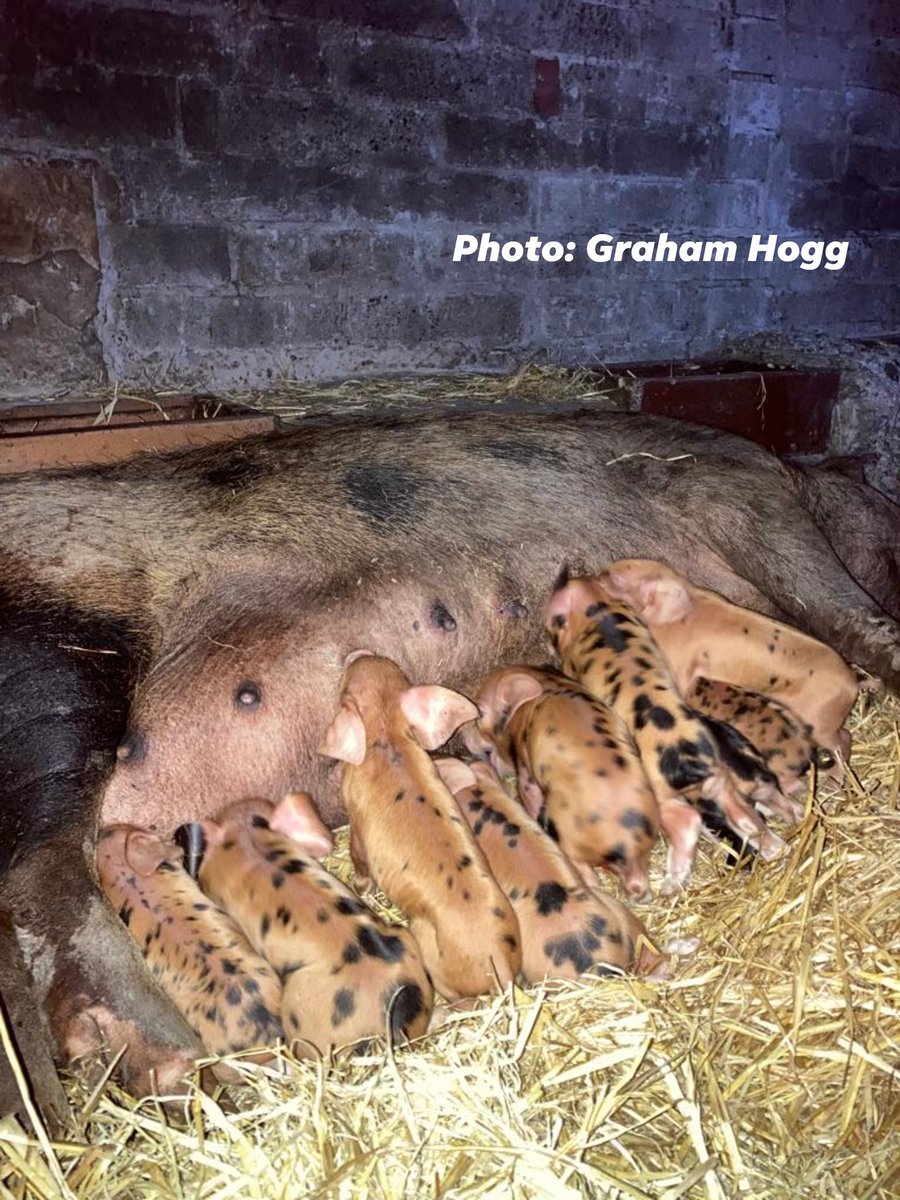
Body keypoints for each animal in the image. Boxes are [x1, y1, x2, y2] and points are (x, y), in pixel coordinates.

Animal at [320, 652, 522, 998]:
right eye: (394, 668)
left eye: (346, 686)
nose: (357, 653)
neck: (386, 733)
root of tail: (500, 967)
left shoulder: (356, 820)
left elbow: (358, 856)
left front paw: (361, 888)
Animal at [464, 664, 659, 898]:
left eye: (481, 711)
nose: (461, 733)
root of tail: (628, 846)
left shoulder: (525, 762)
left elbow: (528, 791)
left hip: (565, 832)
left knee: (588, 875)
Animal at [545, 572, 789, 891]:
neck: (595, 607)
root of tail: (693, 758)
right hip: (722, 783)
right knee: (746, 818)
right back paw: (780, 849)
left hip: (660, 789)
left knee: (688, 819)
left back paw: (671, 885)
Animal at [594, 558, 863, 764]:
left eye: (617, 578)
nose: (596, 576)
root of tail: (852, 684)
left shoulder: (681, 659)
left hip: (819, 722)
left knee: (843, 740)